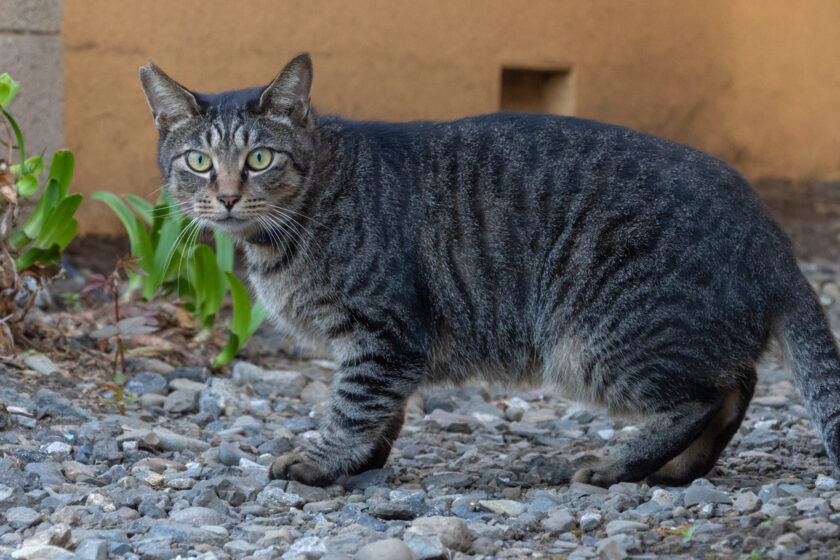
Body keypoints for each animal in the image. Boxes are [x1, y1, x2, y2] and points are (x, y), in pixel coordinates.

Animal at [138, 54, 840, 488]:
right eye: (198, 161)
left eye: (260, 157)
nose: (228, 196)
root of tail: (769, 230)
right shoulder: (387, 346)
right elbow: (383, 410)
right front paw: (364, 462)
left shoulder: (383, 332)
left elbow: (355, 404)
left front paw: (324, 460)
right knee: (738, 383)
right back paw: (674, 470)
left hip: (596, 341)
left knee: (700, 397)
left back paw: (613, 466)